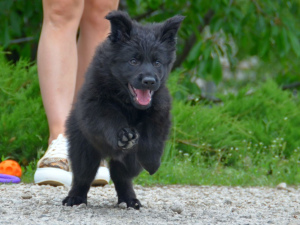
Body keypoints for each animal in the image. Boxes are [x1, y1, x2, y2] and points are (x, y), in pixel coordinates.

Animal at [62, 11, 184, 210]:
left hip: (128, 162)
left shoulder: (159, 109)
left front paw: (152, 161)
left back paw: (129, 199)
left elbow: (153, 137)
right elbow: (110, 120)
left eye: (157, 62)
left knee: (122, 176)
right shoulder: (96, 106)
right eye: (133, 61)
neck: (128, 101)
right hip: (84, 148)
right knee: (83, 176)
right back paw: (75, 198)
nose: (149, 81)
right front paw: (124, 135)